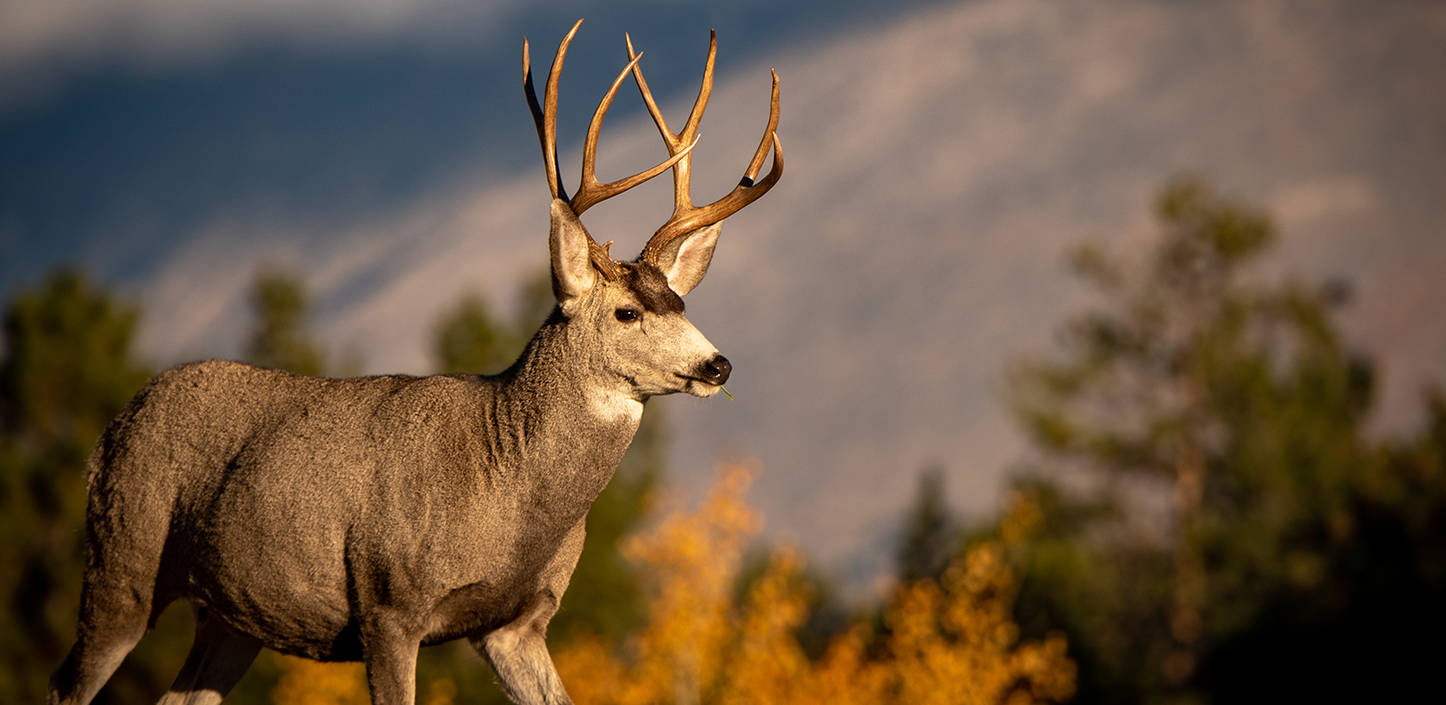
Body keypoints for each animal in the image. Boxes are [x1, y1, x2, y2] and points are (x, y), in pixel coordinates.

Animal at [47, 19, 781, 705]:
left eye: (680, 301)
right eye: (627, 312)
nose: (718, 366)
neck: (505, 491)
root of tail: (113, 427)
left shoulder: (517, 623)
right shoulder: (387, 603)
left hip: (232, 618)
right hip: (124, 559)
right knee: (66, 680)